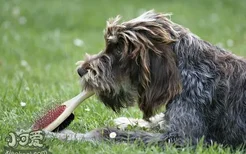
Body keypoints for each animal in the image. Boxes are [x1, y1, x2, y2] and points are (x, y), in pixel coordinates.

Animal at [48, 10, 246, 147]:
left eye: (118, 49)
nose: (80, 70)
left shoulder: (183, 139)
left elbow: (106, 134)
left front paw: (64, 135)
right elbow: (157, 120)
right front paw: (128, 121)